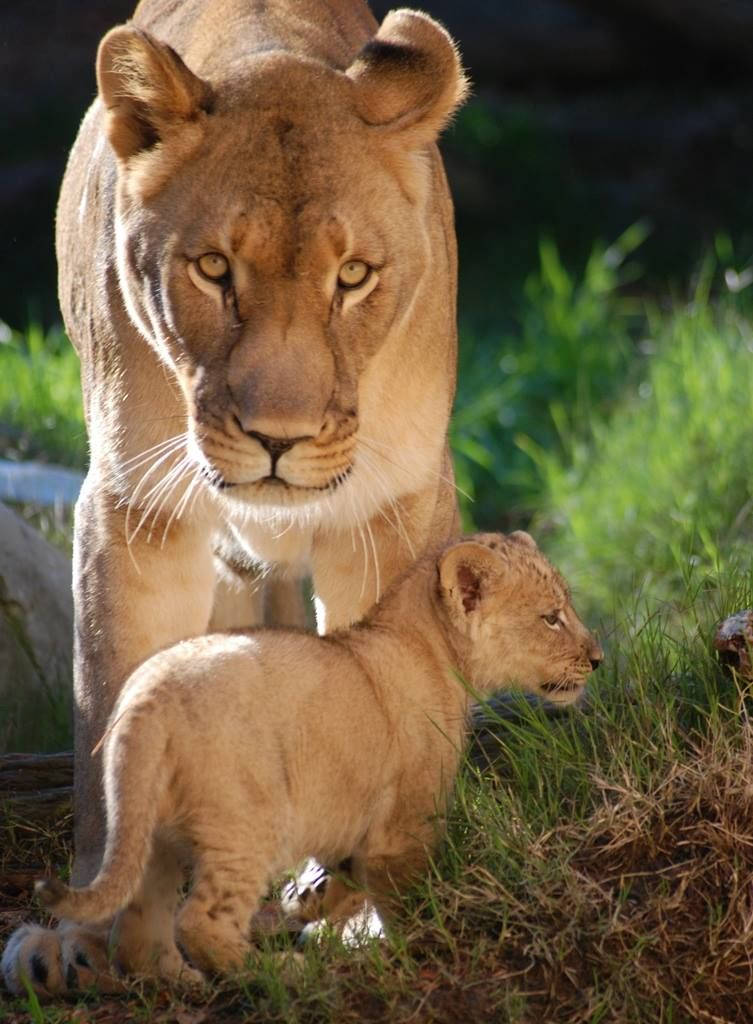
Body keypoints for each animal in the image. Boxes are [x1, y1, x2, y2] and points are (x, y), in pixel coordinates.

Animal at [1, 0, 471, 996]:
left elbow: (390, 704)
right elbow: (110, 721)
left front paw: (364, 912)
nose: (277, 441)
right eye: (214, 269)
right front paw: (91, 933)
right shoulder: (136, 512)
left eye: (353, 276)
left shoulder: (393, 510)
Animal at [33, 532, 602, 981]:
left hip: (151, 831)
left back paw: (178, 980)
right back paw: (279, 973)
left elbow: (344, 879)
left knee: (137, 927)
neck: (429, 646)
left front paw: (308, 904)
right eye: (552, 619)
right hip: (247, 822)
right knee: (199, 922)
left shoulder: (357, 820)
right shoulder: (406, 822)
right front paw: (422, 940)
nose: (598, 659)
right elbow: (407, 893)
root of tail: (149, 696)